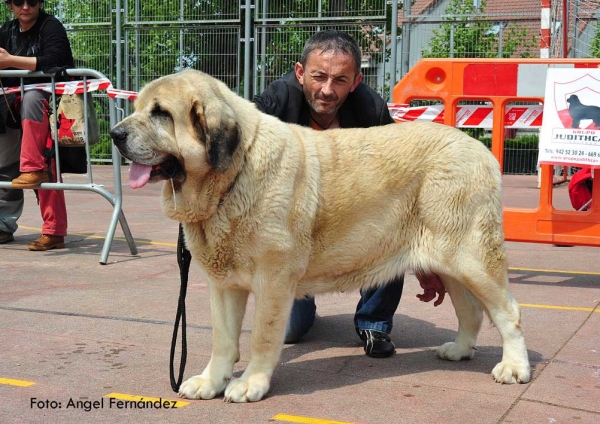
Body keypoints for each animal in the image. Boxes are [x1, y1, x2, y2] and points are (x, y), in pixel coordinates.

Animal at [111, 68, 528, 400]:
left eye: (161, 114)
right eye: (139, 107)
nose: (115, 134)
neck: (233, 176)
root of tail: (479, 150)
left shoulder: (273, 279)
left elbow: (262, 335)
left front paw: (250, 383)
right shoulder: (224, 284)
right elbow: (223, 338)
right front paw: (210, 381)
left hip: (472, 258)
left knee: (508, 310)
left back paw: (515, 367)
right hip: (451, 262)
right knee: (470, 310)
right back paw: (459, 350)